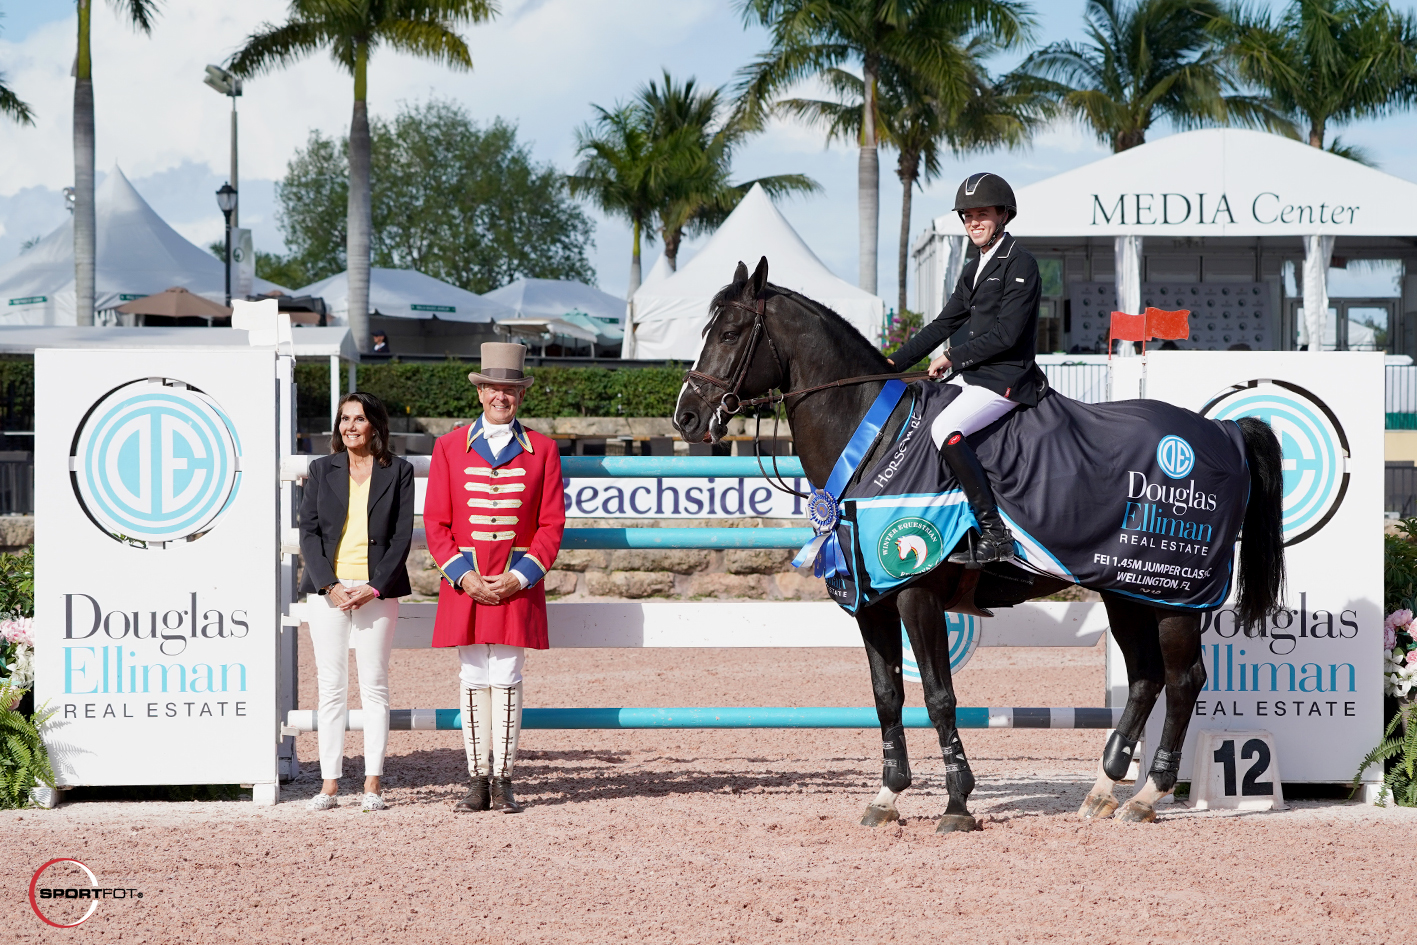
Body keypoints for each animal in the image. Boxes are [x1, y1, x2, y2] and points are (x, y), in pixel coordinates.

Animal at [668, 256, 1292, 827]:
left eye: (729, 333)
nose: (687, 418)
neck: (875, 438)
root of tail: (1223, 431)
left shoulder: (915, 592)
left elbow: (938, 696)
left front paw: (957, 802)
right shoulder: (871, 601)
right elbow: (887, 694)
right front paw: (888, 796)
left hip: (1175, 595)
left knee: (1183, 682)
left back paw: (1147, 796)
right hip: (1128, 589)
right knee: (1145, 678)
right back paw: (1102, 791)